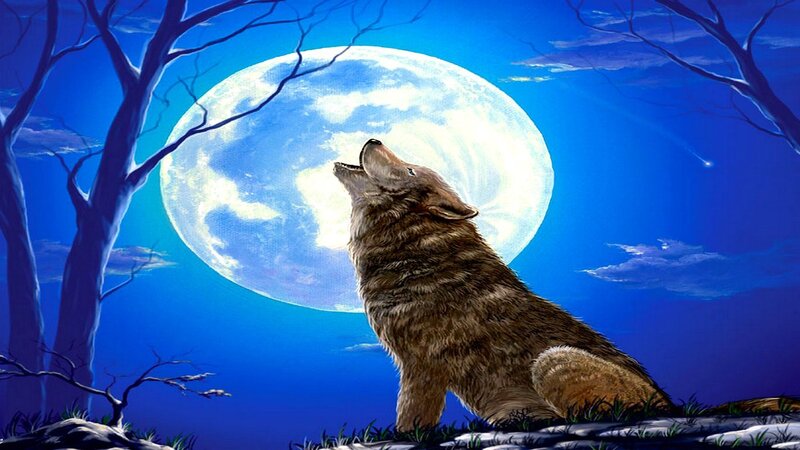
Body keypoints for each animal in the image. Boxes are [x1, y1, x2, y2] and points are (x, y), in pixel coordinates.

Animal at [333, 139, 794, 431]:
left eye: (408, 168)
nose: (373, 137)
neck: (413, 244)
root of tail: (674, 405)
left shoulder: (420, 366)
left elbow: (410, 420)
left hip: (553, 360)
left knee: (594, 417)